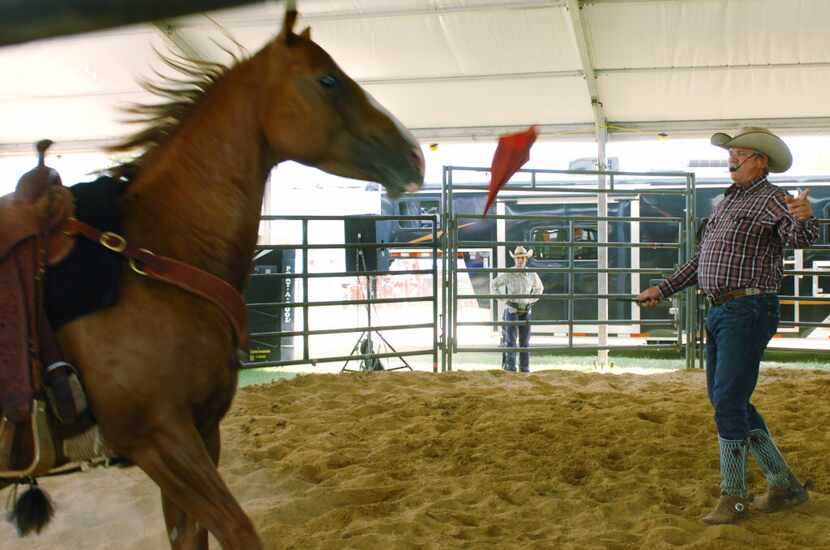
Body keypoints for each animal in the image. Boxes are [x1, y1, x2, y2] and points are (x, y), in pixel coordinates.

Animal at [14, 5, 422, 550]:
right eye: (327, 80)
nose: (415, 155)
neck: (153, 258)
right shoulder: (160, 438)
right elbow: (238, 529)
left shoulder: (201, 431)